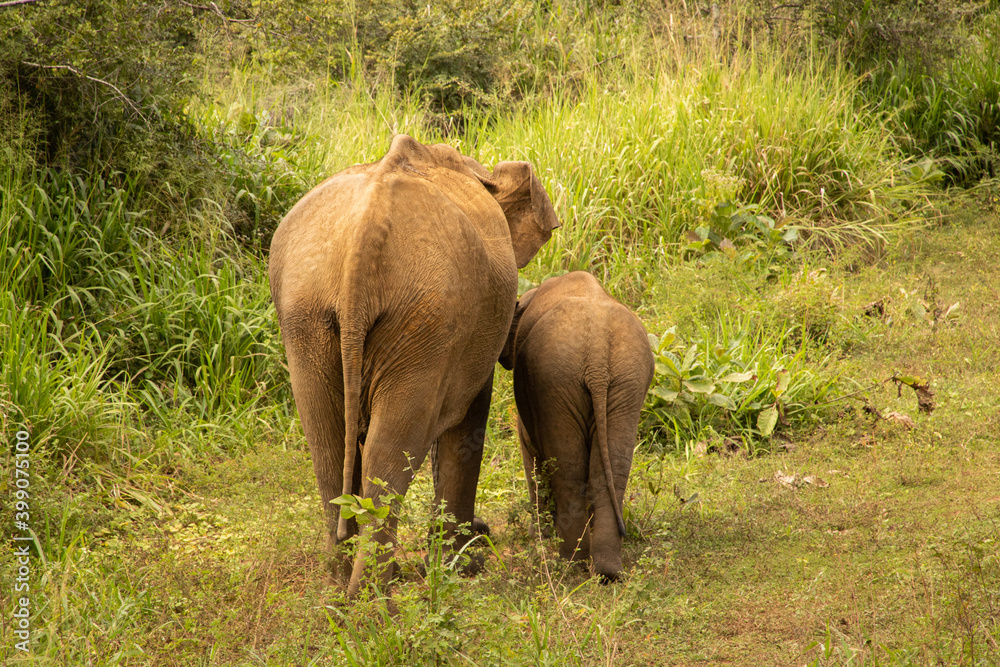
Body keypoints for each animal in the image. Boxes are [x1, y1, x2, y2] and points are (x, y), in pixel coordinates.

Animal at [268, 134, 560, 597]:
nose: (485, 531)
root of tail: (364, 236)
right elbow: (468, 420)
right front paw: (465, 563)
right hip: (424, 316)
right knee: (388, 453)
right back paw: (371, 601)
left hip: (310, 315)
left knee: (329, 446)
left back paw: (341, 591)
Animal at [498, 271, 654, 582]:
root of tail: (597, 356)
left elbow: (530, 452)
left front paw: (538, 537)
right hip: (624, 381)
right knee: (609, 470)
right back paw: (606, 571)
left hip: (559, 380)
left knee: (567, 471)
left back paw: (571, 564)